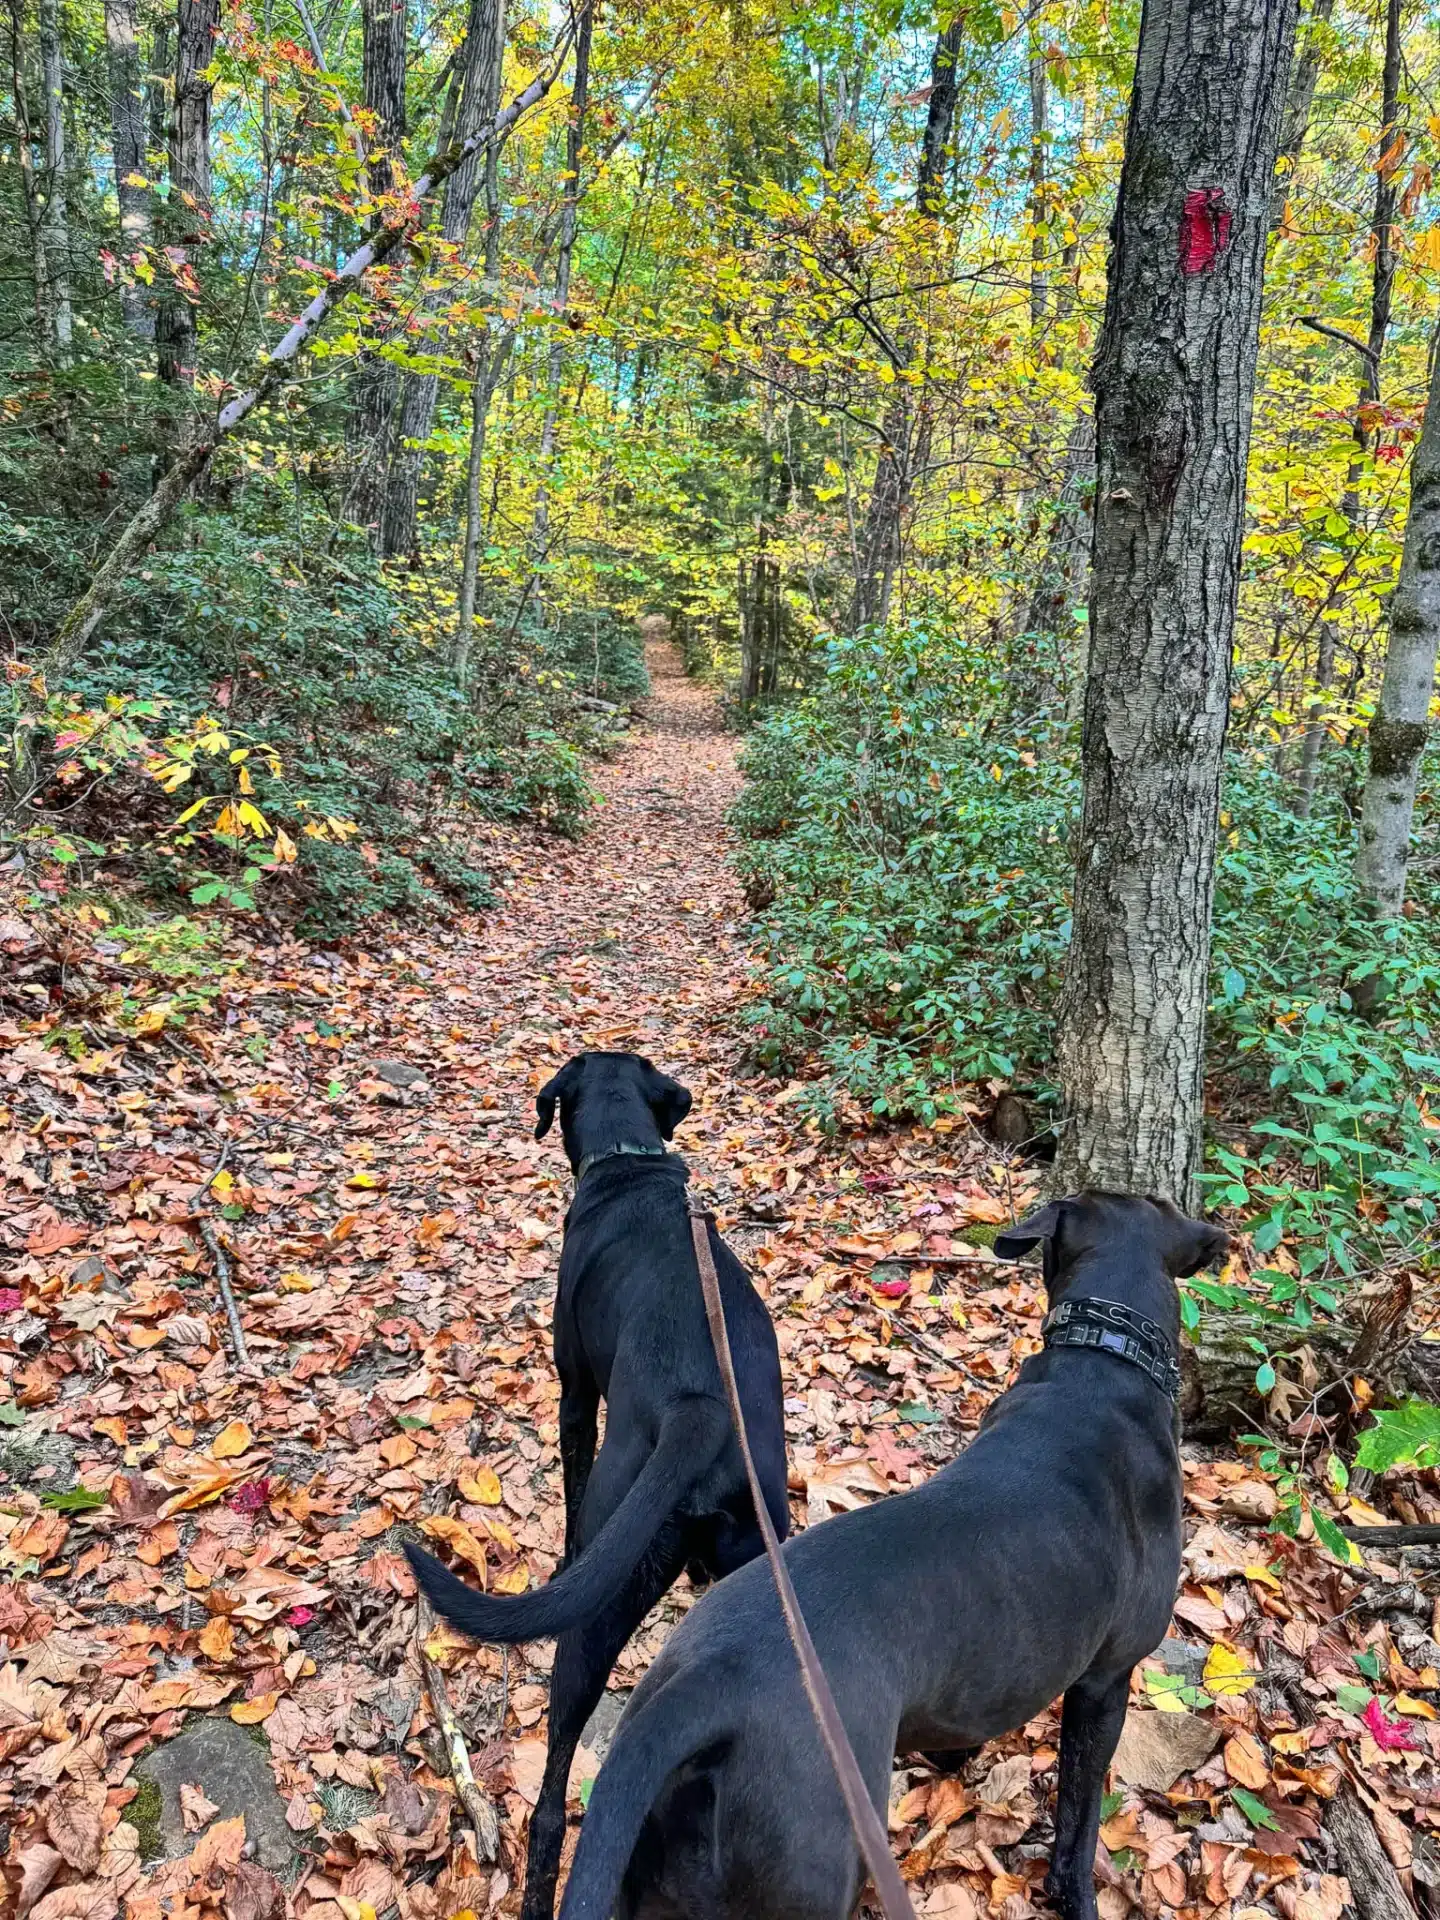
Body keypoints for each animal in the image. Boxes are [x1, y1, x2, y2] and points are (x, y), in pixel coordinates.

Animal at [407, 1052, 791, 1920]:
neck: (630, 1162)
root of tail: (700, 1413)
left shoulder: (576, 1390)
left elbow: (572, 1487)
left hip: (595, 1613)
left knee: (551, 1804)